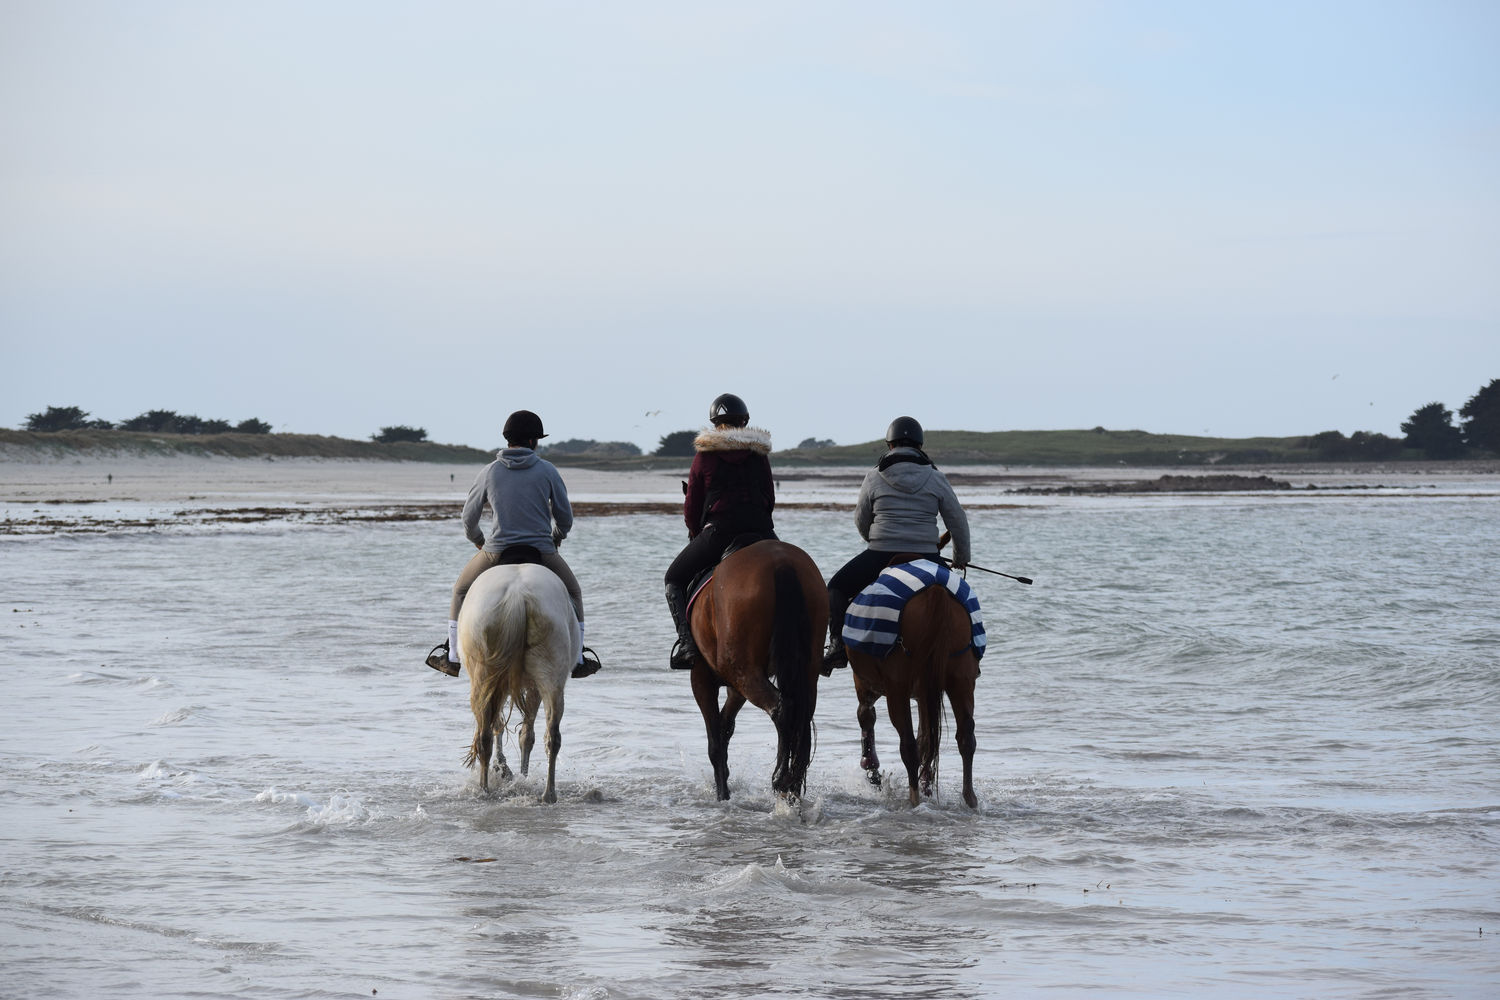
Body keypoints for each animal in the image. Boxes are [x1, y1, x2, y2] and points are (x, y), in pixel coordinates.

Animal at [453, 563, 576, 803]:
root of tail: (517, 597)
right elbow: (521, 732)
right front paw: (514, 773)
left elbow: (504, 727)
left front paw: (506, 769)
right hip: (550, 676)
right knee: (552, 734)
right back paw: (548, 794)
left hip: (486, 676)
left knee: (486, 734)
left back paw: (485, 789)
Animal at [687, 539, 828, 803]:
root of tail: (780, 561)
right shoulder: (736, 688)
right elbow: (725, 727)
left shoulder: (701, 677)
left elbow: (715, 740)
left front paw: (722, 793)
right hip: (804, 672)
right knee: (800, 715)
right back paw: (792, 786)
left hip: (745, 672)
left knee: (782, 709)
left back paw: (780, 779)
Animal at [846, 587, 984, 803]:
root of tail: (936, 591)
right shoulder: (925, 695)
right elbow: (927, 739)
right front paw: (926, 781)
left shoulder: (867, 684)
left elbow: (866, 715)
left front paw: (871, 768)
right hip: (961, 679)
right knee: (966, 737)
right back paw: (969, 800)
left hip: (897, 688)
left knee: (908, 746)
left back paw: (914, 800)